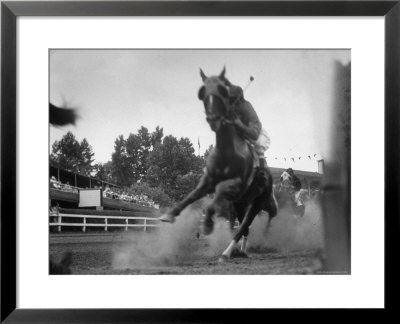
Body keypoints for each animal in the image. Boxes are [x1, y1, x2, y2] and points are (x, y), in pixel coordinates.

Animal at [159, 67, 278, 262]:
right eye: (202, 92)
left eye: (222, 91)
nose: (213, 119)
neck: (227, 151)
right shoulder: (208, 179)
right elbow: (192, 195)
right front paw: (169, 214)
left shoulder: (234, 185)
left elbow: (214, 200)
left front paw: (207, 224)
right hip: (240, 204)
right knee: (244, 228)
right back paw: (241, 251)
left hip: (257, 203)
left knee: (243, 227)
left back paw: (226, 253)